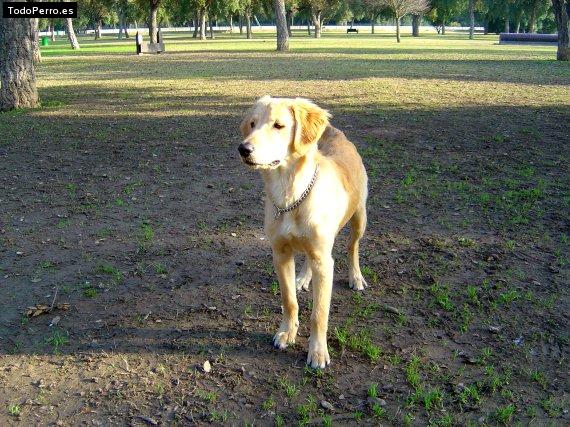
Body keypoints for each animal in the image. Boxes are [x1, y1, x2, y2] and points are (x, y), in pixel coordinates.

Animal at [236, 95, 366, 370]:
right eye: (252, 124)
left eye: (278, 125)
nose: (244, 149)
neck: (290, 195)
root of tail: (336, 133)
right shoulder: (280, 253)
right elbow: (289, 300)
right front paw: (287, 332)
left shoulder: (324, 262)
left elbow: (319, 314)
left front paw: (317, 352)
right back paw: (304, 278)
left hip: (359, 217)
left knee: (353, 247)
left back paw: (356, 277)